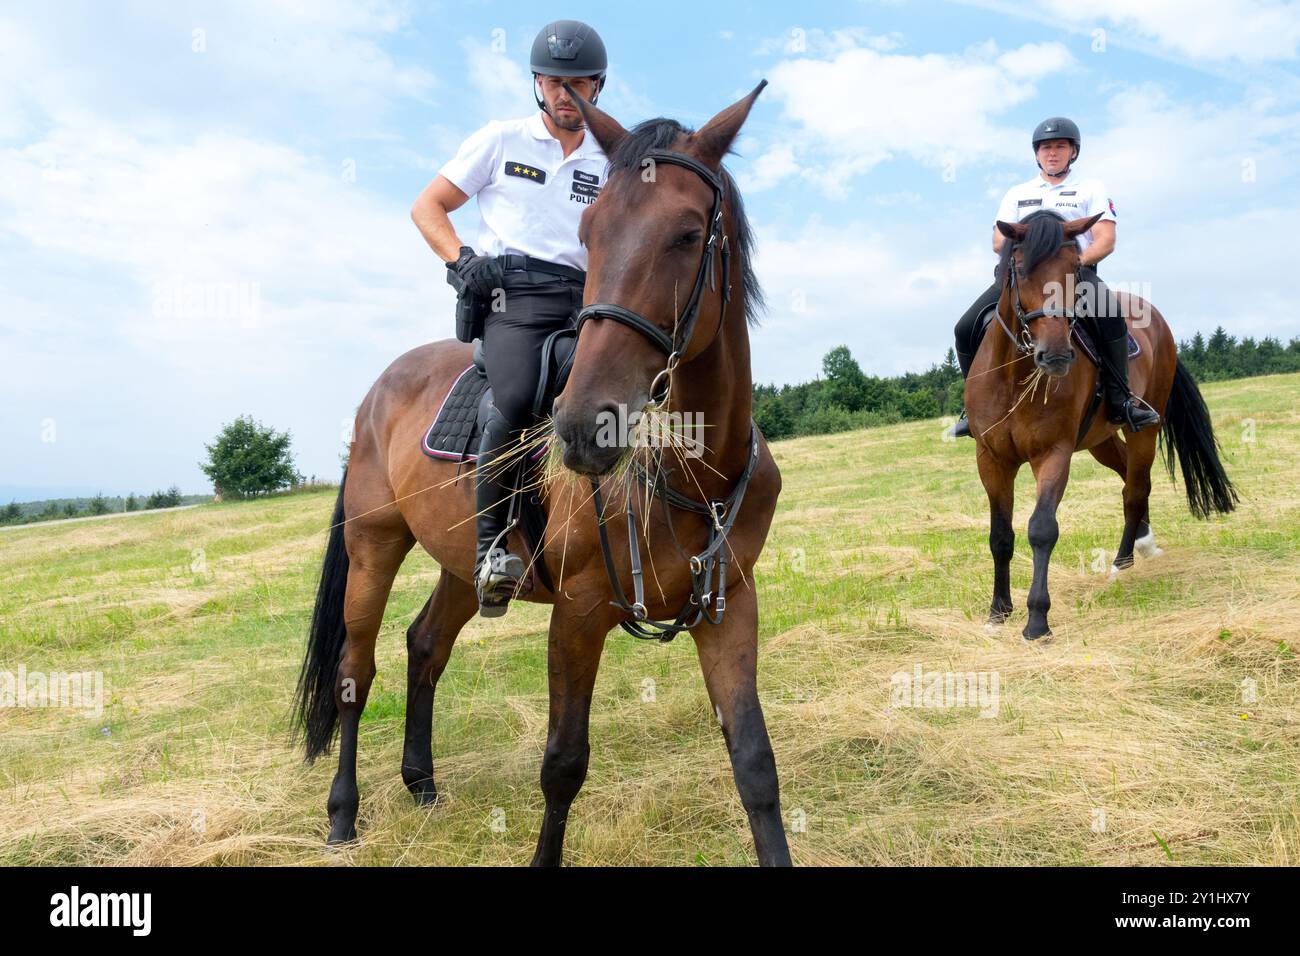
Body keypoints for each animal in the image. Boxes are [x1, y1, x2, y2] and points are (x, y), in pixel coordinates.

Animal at [291, 82, 790, 868]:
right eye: (589, 231)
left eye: (686, 234)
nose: (585, 424)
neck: (695, 473)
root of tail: (377, 392)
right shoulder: (578, 612)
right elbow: (563, 765)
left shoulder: (730, 604)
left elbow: (755, 764)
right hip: (374, 548)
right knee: (353, 673)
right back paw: (343, 814)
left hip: (462, 563)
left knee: (424, 646)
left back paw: (421, 783)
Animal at [967, 209, 1237, 642]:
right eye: (1021, 270)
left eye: (1076, 269)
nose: (1056, 355)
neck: (1015, 378)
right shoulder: (991, 458)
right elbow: (1000, 535)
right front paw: (998, 613)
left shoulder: (1053, 453)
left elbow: (1041, 528)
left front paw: (1037, 621)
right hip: (1101, 441)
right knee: (1129, 477)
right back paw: (1144, 541)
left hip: (1143, 428)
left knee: (1135, 488)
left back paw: (1123, 562)